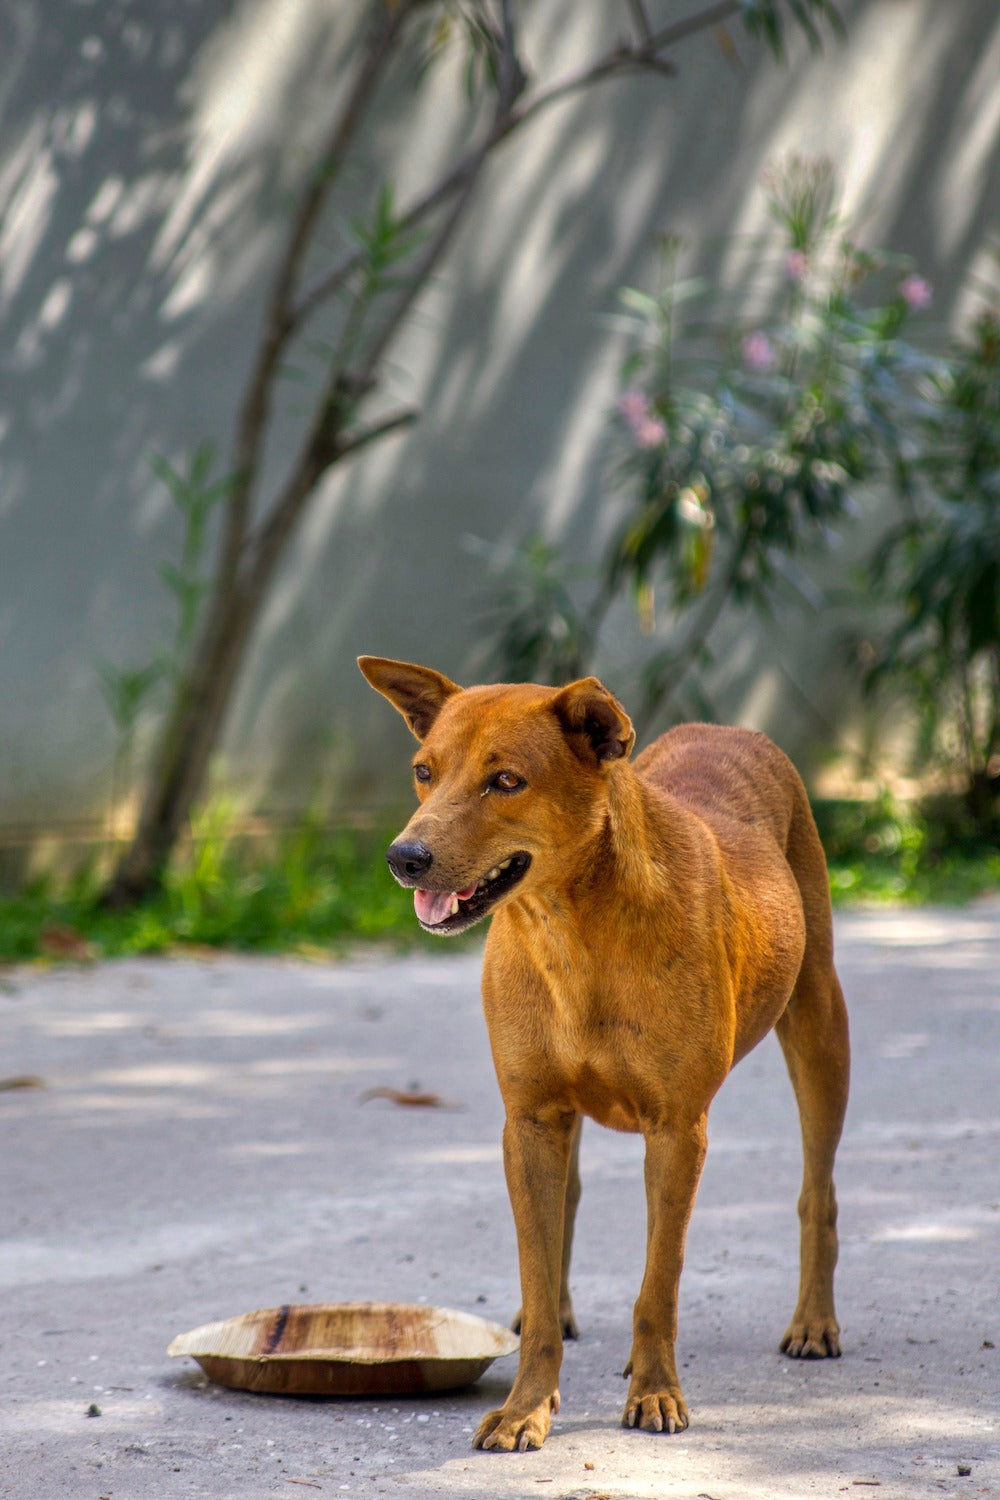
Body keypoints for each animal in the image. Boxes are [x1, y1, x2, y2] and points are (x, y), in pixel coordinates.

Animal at [355, 660, 851, 1452]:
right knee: (567, 1209)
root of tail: (728, 728)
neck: (571, 929)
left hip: (819, 1025)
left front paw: (655, 1392)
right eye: (422, 772)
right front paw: (527, 1405)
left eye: (506, 781)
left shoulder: (678, 1131)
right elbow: (538, 1266)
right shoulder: (529, 1120)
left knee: (818, 1192)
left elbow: (659, 1283)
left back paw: (813, 1321)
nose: (405, 858)